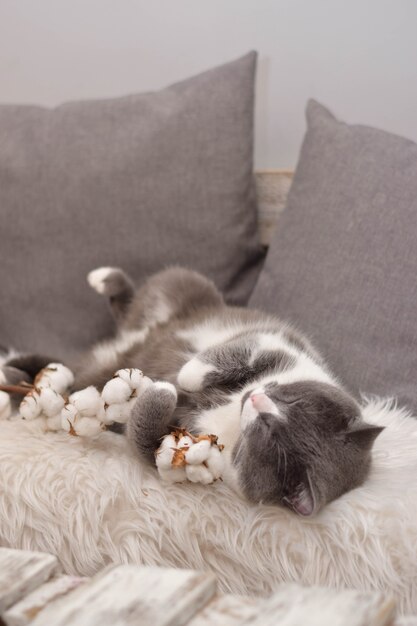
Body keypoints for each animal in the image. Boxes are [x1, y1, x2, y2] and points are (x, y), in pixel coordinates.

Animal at [4, 266, 382, 516]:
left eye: (269, 433)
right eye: (291, 398)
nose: (256, 398)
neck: (232, 411)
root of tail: (124, 343)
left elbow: (145, 439)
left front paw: (161, 390)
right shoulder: (278, 343)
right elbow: (234, 354)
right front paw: (187, 376)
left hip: (93, 375)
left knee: (73, 371)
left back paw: (16, 372)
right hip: (186, 290)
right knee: (141, 297)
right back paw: (102, 278)